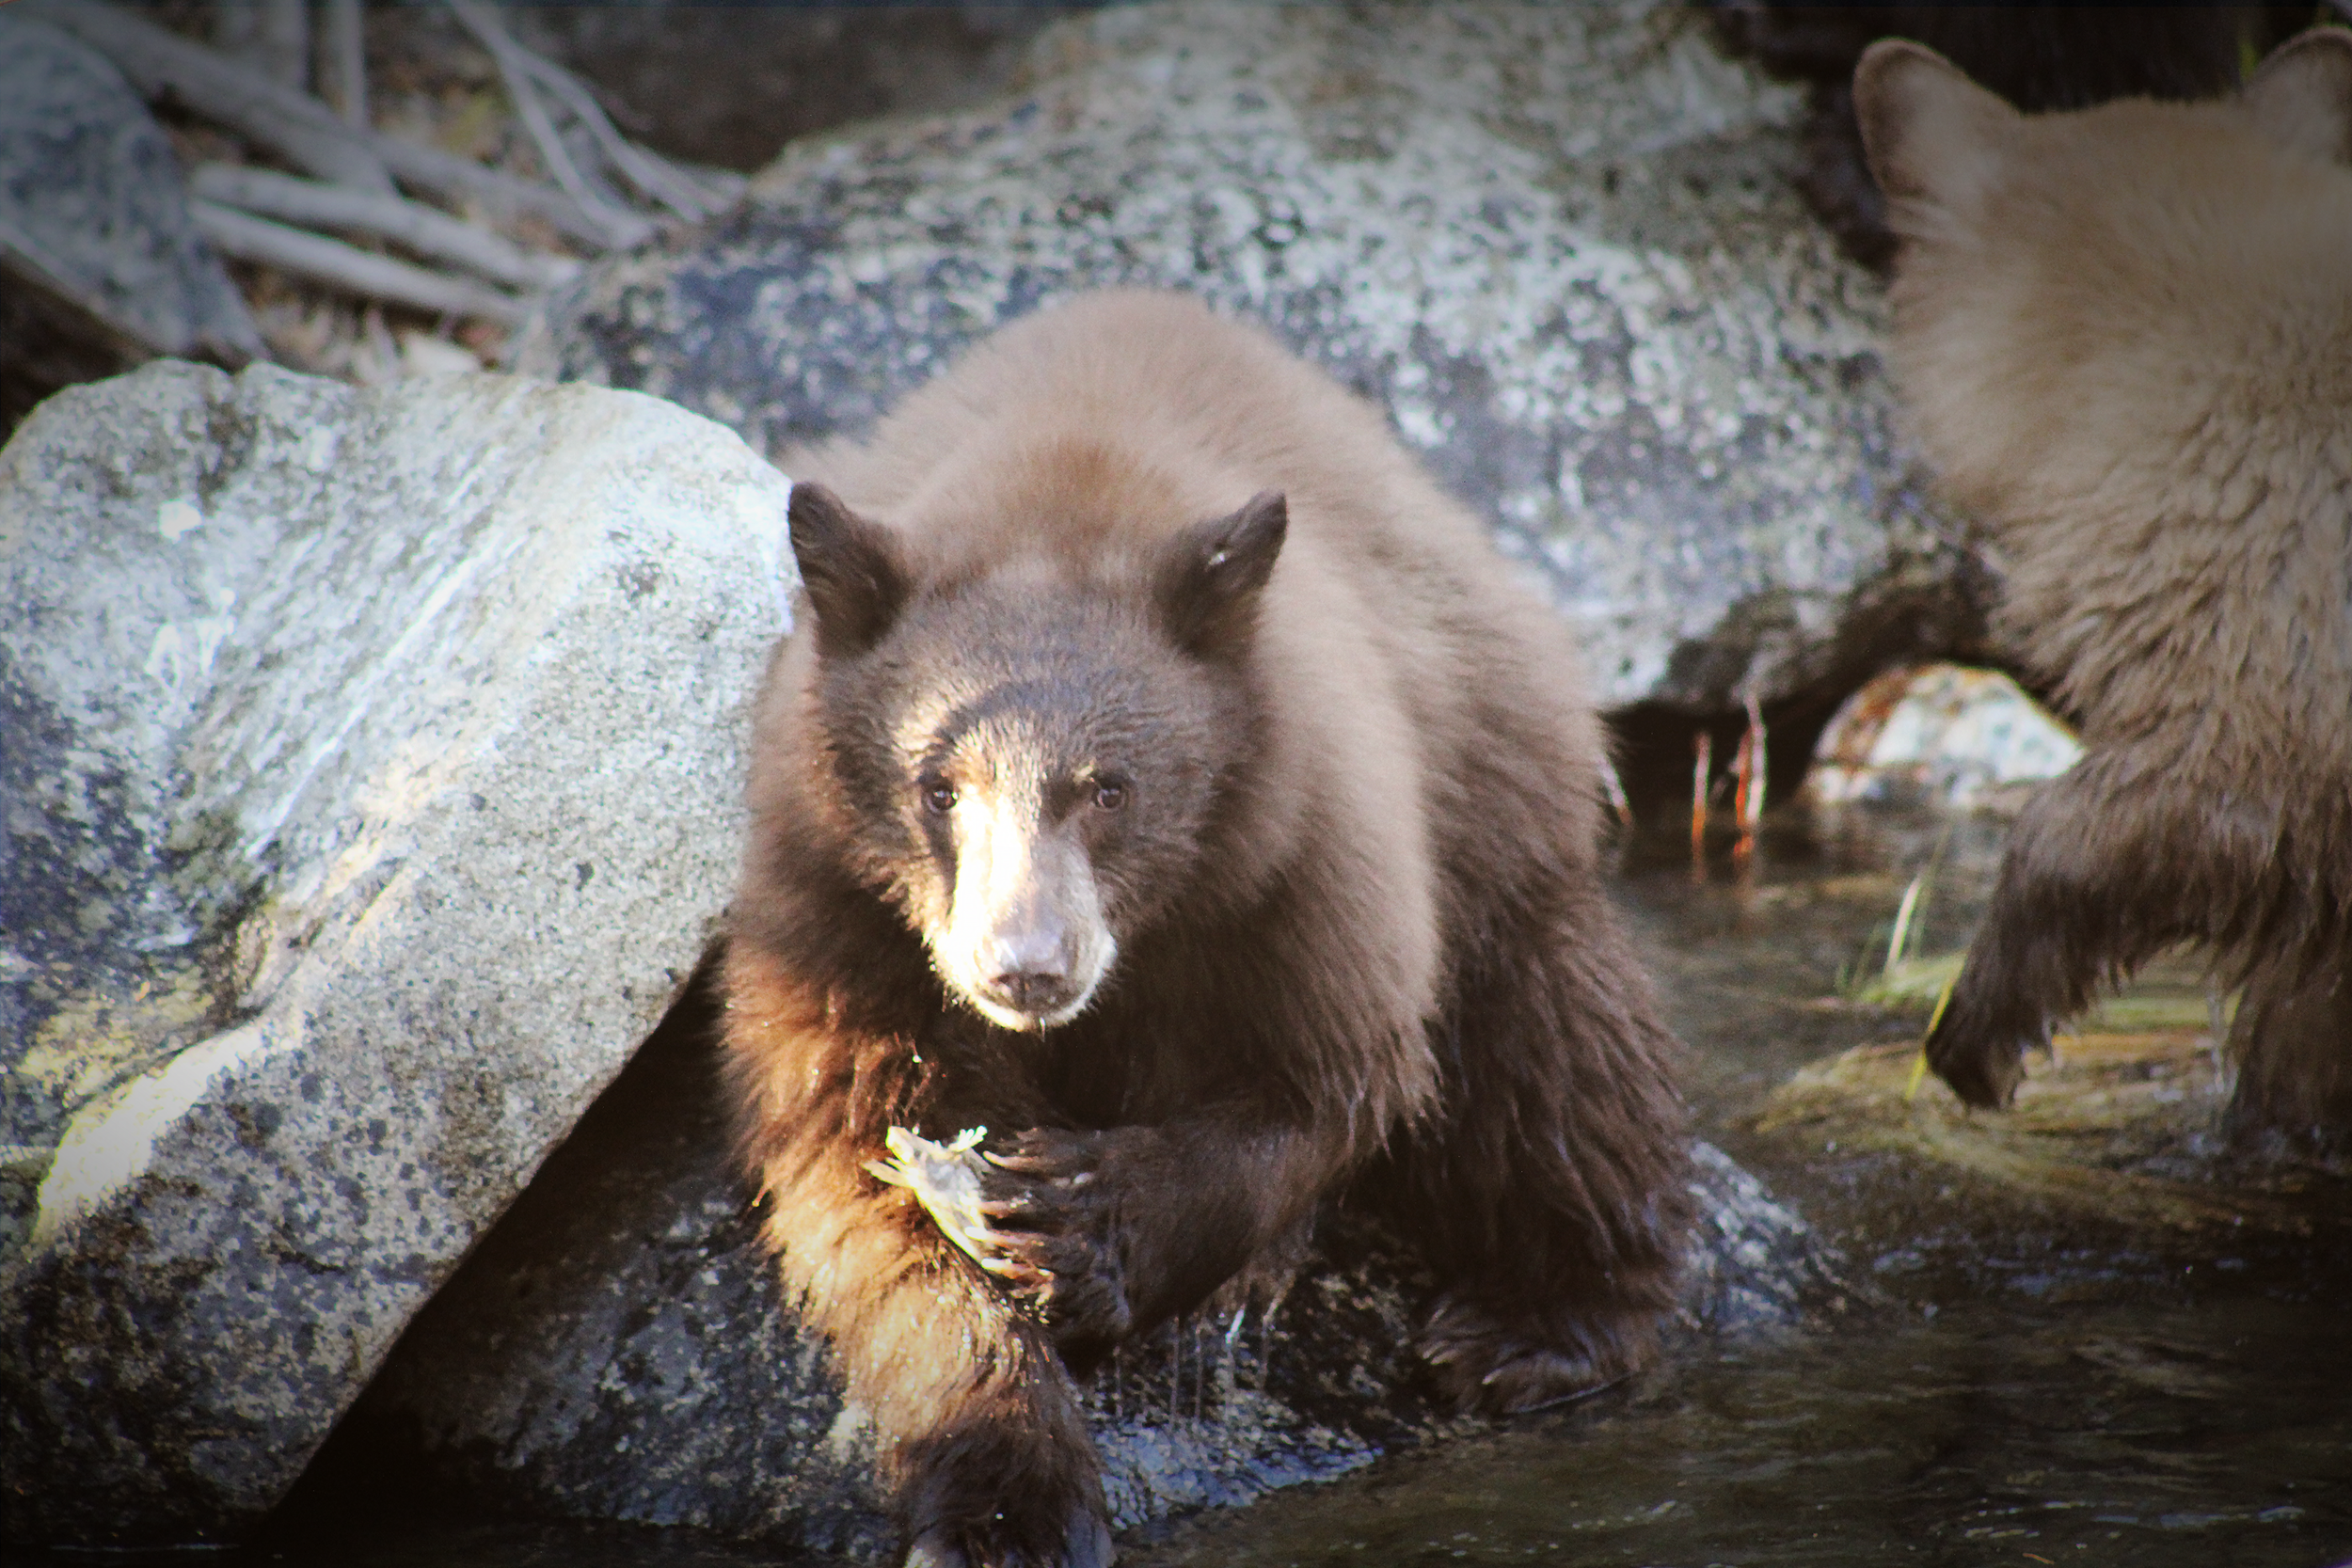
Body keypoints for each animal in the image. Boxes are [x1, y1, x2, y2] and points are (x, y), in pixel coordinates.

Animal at [718, 290, 1694, 1566]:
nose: (1024, 968)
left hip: (1495, 799)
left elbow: (1323, 1083)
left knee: (1558, 1060)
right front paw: (1001, 1503)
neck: (1056, 490)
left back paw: (1538, 1324)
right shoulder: (835, 915)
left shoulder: (1304, 851)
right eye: (937, 785)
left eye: (1109, 787)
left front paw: (1084, 1217)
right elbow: (866, 1178)